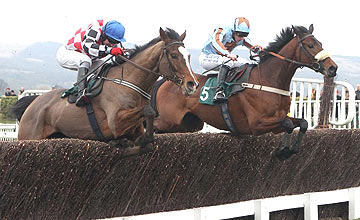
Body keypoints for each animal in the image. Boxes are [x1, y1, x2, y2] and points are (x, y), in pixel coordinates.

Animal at [13, 27, 200, 155]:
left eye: (189, 56)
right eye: (174, 55)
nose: (192, 84)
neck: (129, 82)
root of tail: (33, 103)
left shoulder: (133, 130)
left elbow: (147, 143)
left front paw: (122, 144)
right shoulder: (115, 123)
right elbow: (149, 110)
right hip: (30, 137)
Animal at [154, 24, 338, 160]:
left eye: (321, 44)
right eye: (311, 45)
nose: (333, 68)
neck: (268, 79)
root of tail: (167, 81)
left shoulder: (276, 124)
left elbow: (302, 123)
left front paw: (289, 150)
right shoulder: (256, 124)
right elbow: (287, 123)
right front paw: (283, 150)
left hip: (187, 124)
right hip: (167, 120)